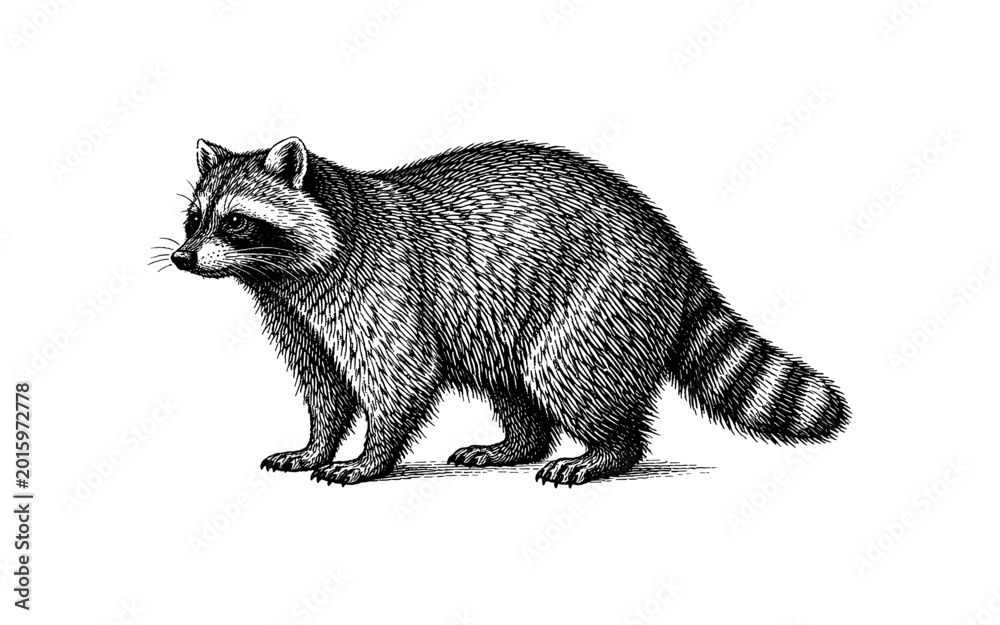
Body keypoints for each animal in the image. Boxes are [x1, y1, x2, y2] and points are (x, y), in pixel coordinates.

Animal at [168, 136, 849, 486]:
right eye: (193, 219)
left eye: (235, 221)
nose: (181, 257)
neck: (285, 273)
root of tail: (672, 248)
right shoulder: (300, 318)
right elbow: (325, 388)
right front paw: (317, 445)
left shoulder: (380, 292)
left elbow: (397, 383)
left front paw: (368, 457)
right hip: (498, 320)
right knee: (513, 382)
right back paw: (518, 443)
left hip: (590, 303)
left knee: (572, 374)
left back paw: (607, 451)